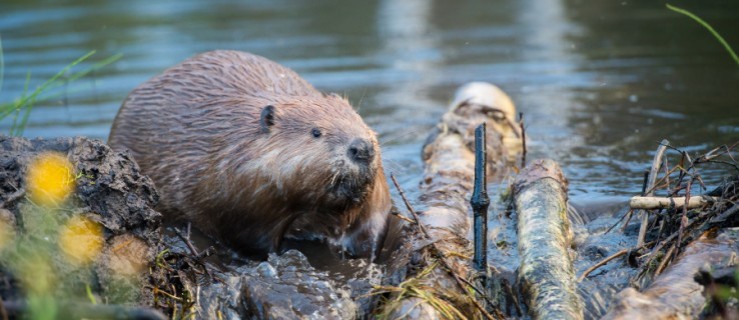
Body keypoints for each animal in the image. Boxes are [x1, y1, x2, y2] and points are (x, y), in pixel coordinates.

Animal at [108, 51, 394, 258]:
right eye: (316, 132)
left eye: (359, 119)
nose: (362, 148)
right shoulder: (242, 199)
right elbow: (252, 242)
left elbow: (374, 224)